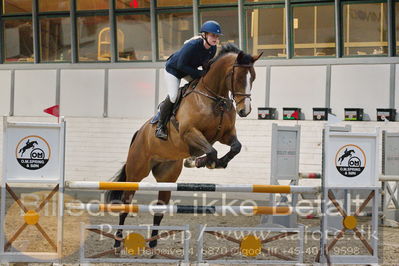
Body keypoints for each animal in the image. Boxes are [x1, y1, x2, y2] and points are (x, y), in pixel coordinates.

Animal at [106, 43, 262, 249]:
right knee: (125, 204)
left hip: (167, 176)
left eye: (253, 77)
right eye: (237, 77)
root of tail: (139, 133)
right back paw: (117, 243)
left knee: (159, 208)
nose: (245, 111)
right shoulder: (189, 133)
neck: (214, 98)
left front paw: (213, 162)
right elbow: (212, 150)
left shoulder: (226, 135)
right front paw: (203, 162)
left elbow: (235, 147)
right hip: (135, 173)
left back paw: (153, 246)